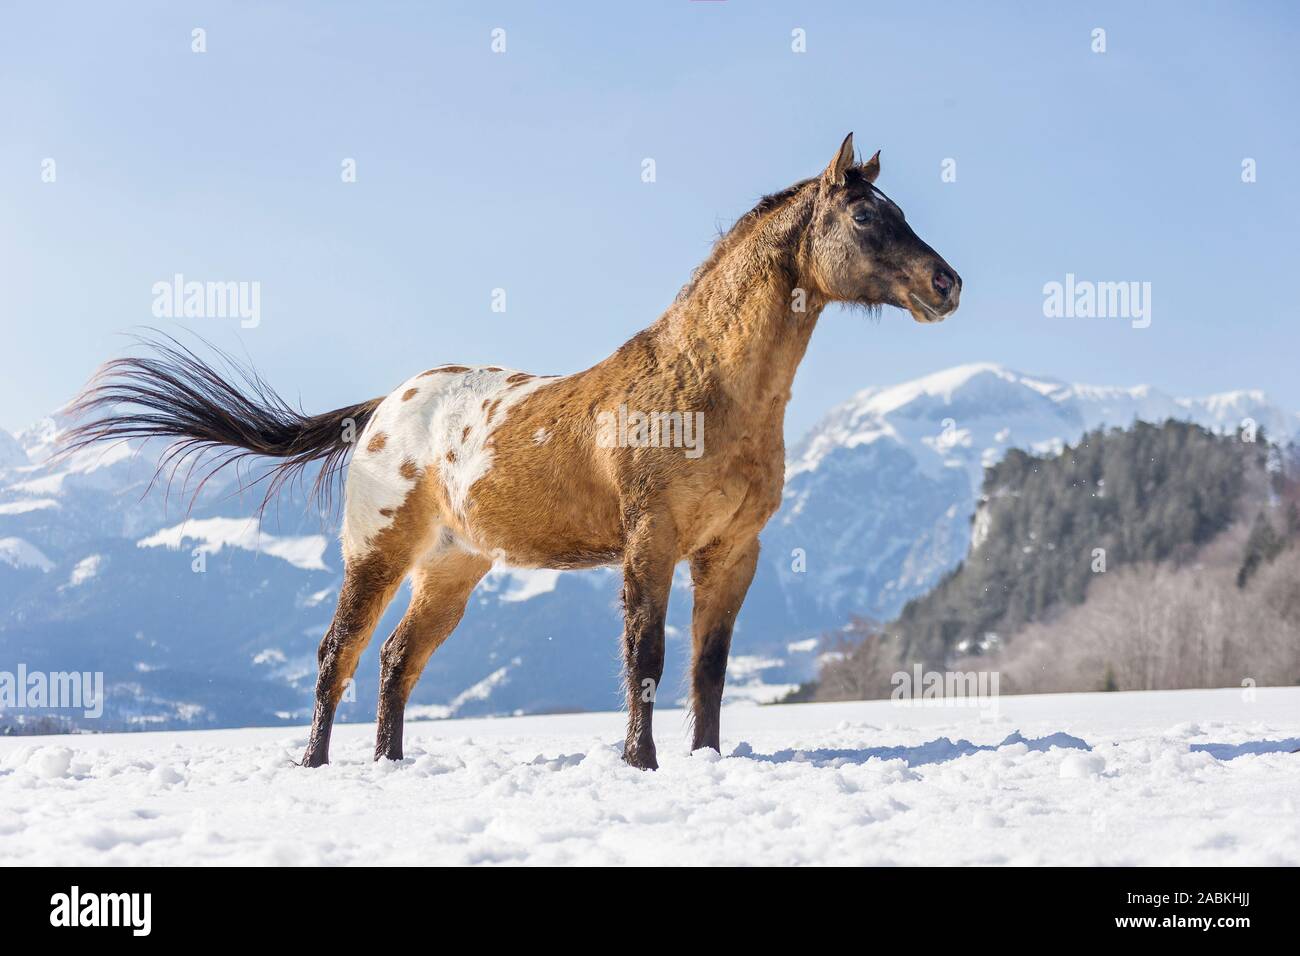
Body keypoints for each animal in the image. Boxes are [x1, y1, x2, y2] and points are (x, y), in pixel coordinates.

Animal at [68, 134, 967, 770]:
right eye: (865, 217)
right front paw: (639, 761)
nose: (946, 284)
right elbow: (646, 654)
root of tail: (384, 407)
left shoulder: (733, 551)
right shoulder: (652, 542)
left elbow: (709, 668)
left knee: (397, 659)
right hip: (378, 553)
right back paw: (316, 765)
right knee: (339, 655)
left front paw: (708, 759)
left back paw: (392, 765)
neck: (703, 386)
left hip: (452, 566)